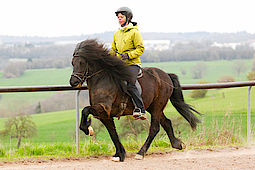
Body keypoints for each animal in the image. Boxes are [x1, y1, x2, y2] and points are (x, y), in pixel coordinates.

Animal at [69, 38, 201, 162]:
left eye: (81, 62)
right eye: (72, 63)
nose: (73, 82)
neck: (102, 80)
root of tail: (166, 75)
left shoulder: (103, 108)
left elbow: (85, 110)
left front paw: (88, 128)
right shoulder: (105, 115)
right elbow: (113, 133)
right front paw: (119, 154)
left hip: (157, 106)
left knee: (154, 128)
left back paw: (140, 153)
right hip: (153, 108)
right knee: (166, 122)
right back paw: (177, 144)